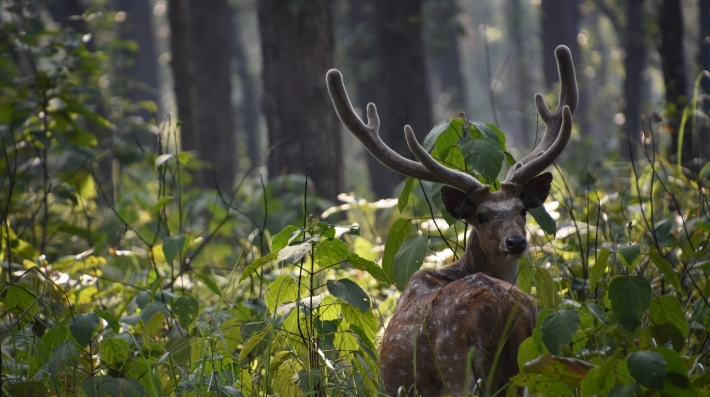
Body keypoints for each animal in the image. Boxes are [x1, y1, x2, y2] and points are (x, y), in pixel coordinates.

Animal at [326, 46, 580, 396]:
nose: (516, 241)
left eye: (522, 210)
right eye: (481, 216)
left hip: (462, 370)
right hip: (531, 362)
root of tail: (504, 310)